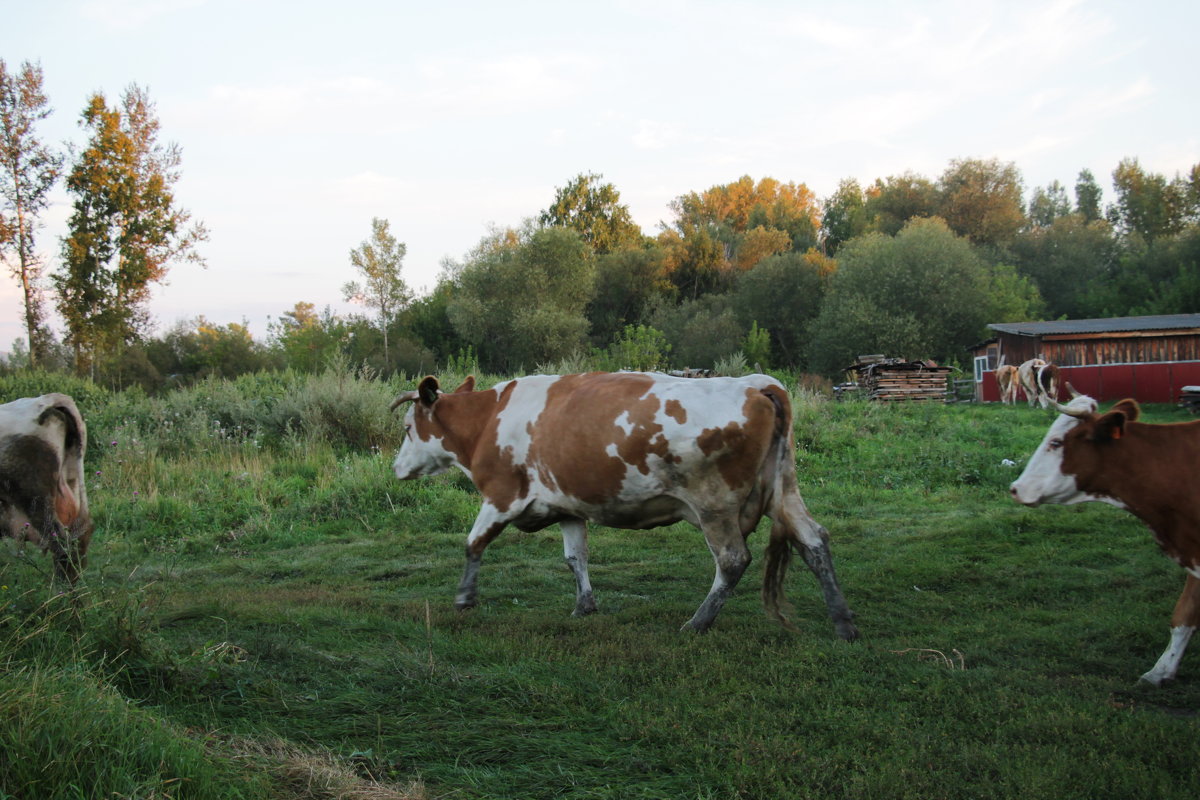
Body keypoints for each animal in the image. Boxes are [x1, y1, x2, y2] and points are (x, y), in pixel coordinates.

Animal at [388, 371, 859, 642]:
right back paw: (843, 623)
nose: (395, 468)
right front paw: (584, 606)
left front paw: (465, 599)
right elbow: (575, 557)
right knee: (814, 541)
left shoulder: (503, 493)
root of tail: (759, 384)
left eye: (409, 428)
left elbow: (474, 543)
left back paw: (698, 623)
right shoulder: (569, 505)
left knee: (732, 560)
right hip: (784, 489)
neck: (487, 421)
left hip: (714, 504)